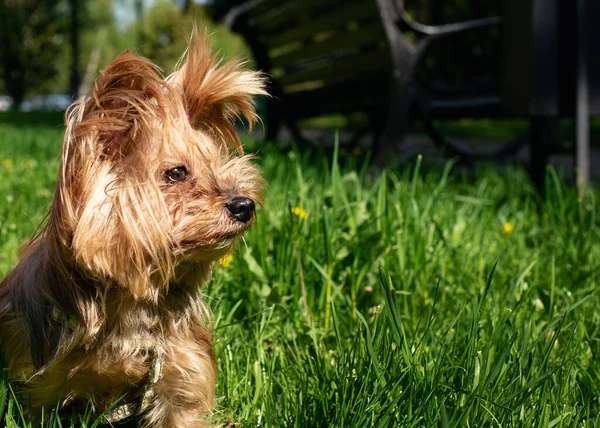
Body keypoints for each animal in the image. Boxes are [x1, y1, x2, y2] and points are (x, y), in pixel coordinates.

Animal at [0, 28, 264, 426]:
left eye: (220, 163)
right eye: (177, 172)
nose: (245, 205)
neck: (132, 305)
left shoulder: (180, 373)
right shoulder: (36, 381)